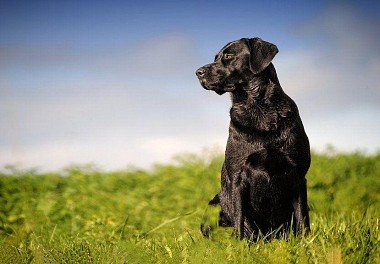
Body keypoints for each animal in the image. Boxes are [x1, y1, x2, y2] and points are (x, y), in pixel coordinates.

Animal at [197, 38, 310, 240]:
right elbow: (240, 220)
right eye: (215, 57)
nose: (198, 72)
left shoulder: (298, 174)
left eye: (228, 56)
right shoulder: (237, 177)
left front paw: (306, 242)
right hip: (214, 204)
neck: (258, 108)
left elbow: (302, 219)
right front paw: (240, 245)